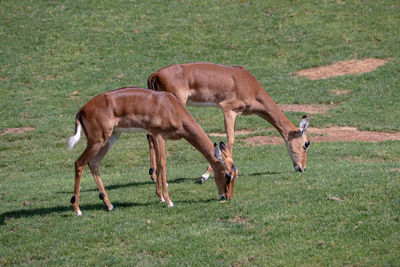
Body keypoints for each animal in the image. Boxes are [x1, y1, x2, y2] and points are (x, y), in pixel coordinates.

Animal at [68, 87, 238, 217]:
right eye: (227, 174)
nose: (228, 196)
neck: (172, 108)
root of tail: (81, 111)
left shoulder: (159, 137)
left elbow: (157, 163)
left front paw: (160, 197)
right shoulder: (158, 135)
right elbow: (162, 164)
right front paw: (169, 201)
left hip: (111, 137)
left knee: (94, 163)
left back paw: (109, 205)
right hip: (98, 140)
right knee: (79, 163)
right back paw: (77, 209)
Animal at [148, 62, 310, 182]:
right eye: (306, 143)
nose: (302, 168)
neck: (250, 86)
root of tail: (155, 74)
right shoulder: (228, 110)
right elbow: (230, 139)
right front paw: (206, 175)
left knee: (150, 136)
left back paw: (153, 175)